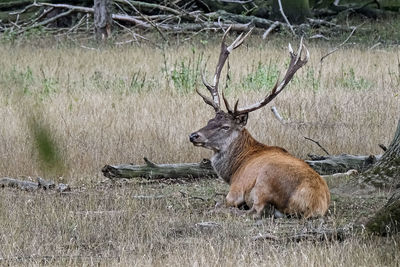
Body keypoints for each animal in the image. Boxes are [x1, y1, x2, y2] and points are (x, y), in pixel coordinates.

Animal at [189, 27, 330, 220]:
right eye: (210, 120)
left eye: (226, 127)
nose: (193, 135)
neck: (234, 170)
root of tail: (313, 204)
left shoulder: (236, 189)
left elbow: (225, 201)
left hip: (264, 181)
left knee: (256, 211)